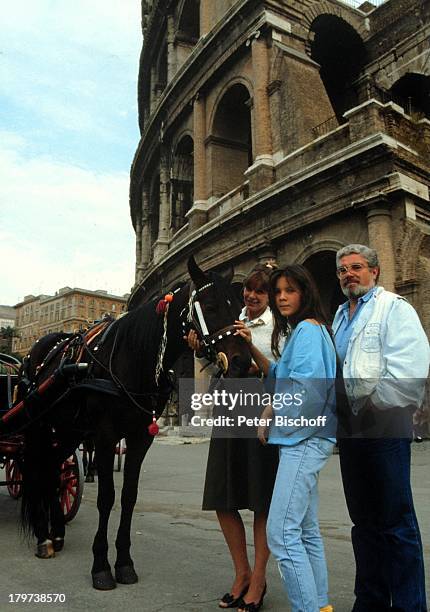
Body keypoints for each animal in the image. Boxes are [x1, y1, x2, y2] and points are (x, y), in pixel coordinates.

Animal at [15, 256, 252, 592]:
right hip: (40, 426)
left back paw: (56, 531)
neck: (130, 359)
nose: (243, 361)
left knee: (54, 470)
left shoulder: (141, 439)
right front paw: (101, 566)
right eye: (210, 305)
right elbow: (106, 498)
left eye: (237, 306)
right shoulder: (104, 437)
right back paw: (42, 535)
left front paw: (124, 562)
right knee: (38, 469)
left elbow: (128, 497)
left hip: (68, 431)